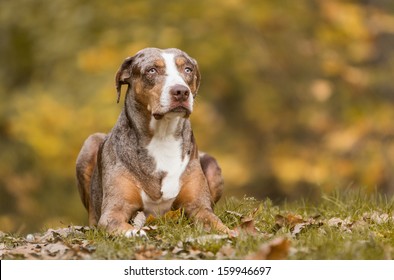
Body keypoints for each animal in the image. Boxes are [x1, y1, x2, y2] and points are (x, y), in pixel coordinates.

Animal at [75, 47, 234, 237]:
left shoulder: (199, 206)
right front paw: (136, 233)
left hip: (212, 163)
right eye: (152, 70)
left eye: (188, 69)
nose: (181, 91)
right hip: (90, 144)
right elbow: (118, 223)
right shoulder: (114, 212)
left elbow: (214, 221)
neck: (163, 136)